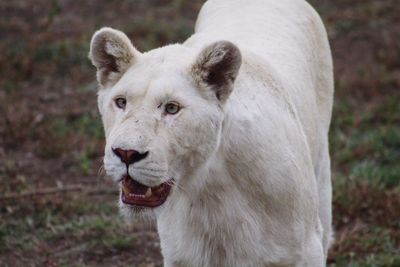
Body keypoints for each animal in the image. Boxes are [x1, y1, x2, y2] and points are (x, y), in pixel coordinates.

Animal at [89, 0, 332, 266]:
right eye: (121, 102)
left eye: (172, 108)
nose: (126, 153)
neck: (210, 188)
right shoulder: (181, 256)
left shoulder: (306, 249)